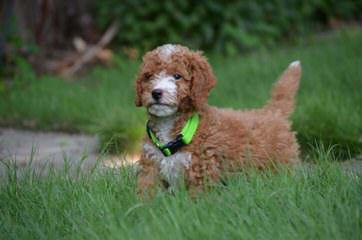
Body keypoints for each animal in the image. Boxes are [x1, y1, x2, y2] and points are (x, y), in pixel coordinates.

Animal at [134, 44, 302, 196]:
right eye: (148, 76)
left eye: (177, 76)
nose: (156, 93)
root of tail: (272, 112)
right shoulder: (151, 167)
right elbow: (147, 194)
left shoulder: (201, 171)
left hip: (283, 164)